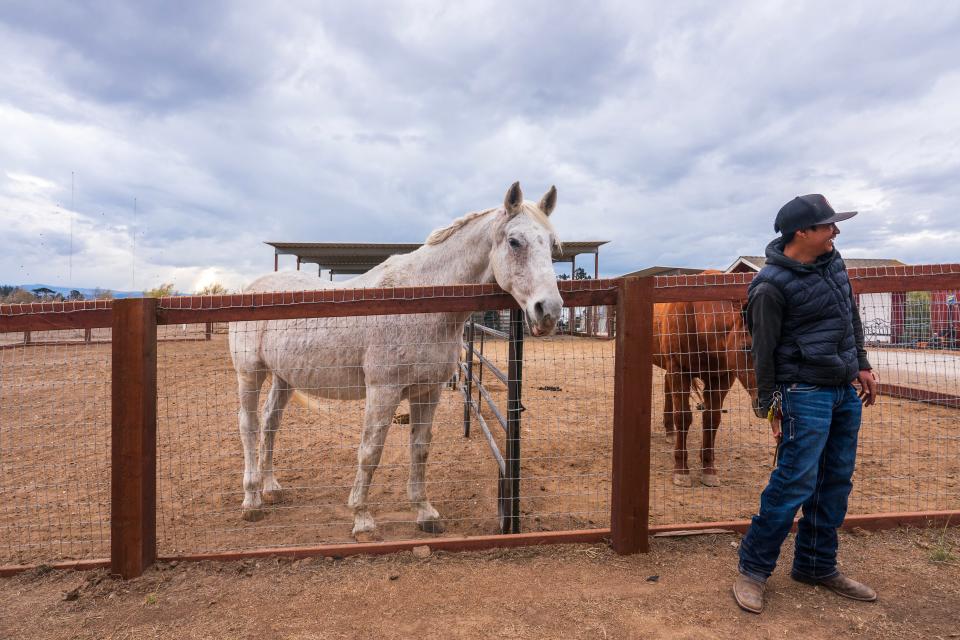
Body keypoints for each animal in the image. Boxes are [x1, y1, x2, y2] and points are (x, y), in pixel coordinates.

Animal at [230, 182, 568, 536]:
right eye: (515, 241)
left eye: (553, 246)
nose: (549, 311)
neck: (419, 301)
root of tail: (250, 287)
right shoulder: (384, 391)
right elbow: (370, 451)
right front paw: (362, 518)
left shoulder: (428, 391)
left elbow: (420, 448)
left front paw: (424, 512)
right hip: (250, 374)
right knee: (249, 425)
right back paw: (252, 500)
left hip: (284, 378)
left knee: (270, 423)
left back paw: (271, 487)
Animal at [652, 278, 756, 488]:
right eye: (746, 347)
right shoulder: (679, 370)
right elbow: (683, 417)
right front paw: (681, 470)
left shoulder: (722, 378)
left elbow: (711, 419)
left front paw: (708, 468)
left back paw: (670, 432)